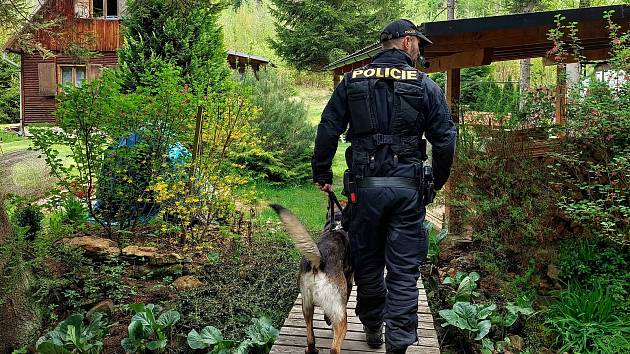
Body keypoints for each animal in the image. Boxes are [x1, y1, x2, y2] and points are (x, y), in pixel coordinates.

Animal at [270, 196, 354, 354]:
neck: (338, 222)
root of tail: (318, 261)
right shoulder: (349, 282)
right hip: (341, 317)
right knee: (334, 347)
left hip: (306, 306)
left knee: (310, 339)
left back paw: (311, 349)